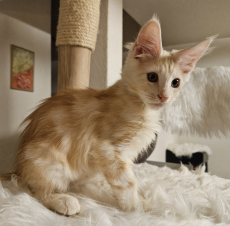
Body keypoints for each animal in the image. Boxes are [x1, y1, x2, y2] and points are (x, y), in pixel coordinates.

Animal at [8, 16, 216, 215]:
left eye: (176, 83)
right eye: (152, 77)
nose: (163, 96)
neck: (141, 107)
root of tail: (17, 169)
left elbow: (128, 180)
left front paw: (140, 202)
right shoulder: (107, 149)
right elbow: (128, 182)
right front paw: (134, 208)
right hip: (48, 161)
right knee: (34, 190)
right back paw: (63, 200)